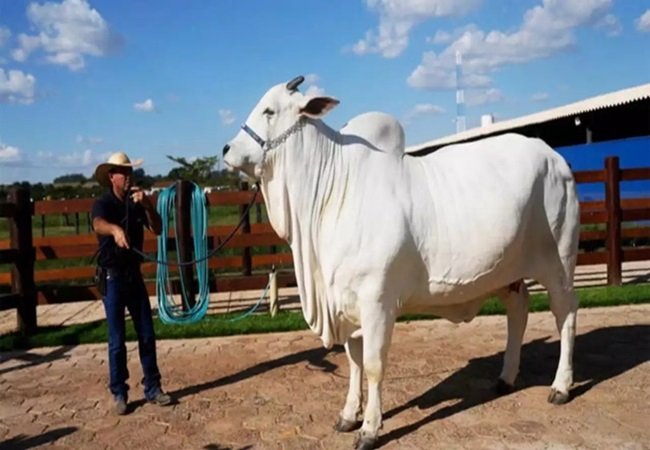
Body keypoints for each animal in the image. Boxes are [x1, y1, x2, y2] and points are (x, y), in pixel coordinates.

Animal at [222, 76, 580, 450]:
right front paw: (349, 415)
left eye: (269, 110)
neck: (331, 195)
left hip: (559, 264)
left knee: (566, 314)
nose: (226, 150)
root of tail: (555, 157)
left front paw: (369, 429)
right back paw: (506, 377)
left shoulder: (377, 302)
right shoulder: (346, 303)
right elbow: (354, 361)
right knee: (519, 310)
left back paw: (560, 386)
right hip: (507, 272)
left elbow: (374, 364)